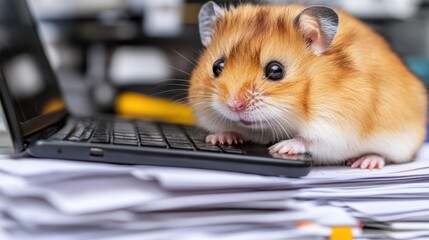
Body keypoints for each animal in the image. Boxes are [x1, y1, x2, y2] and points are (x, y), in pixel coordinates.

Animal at [189, 2, 426, 171]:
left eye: (275, 70)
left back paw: (365, 162)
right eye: (217, 66)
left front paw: (281, 147)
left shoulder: (336, 127)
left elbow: (309, 140)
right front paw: (218, 138)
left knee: (386, 156)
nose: (234, 106)